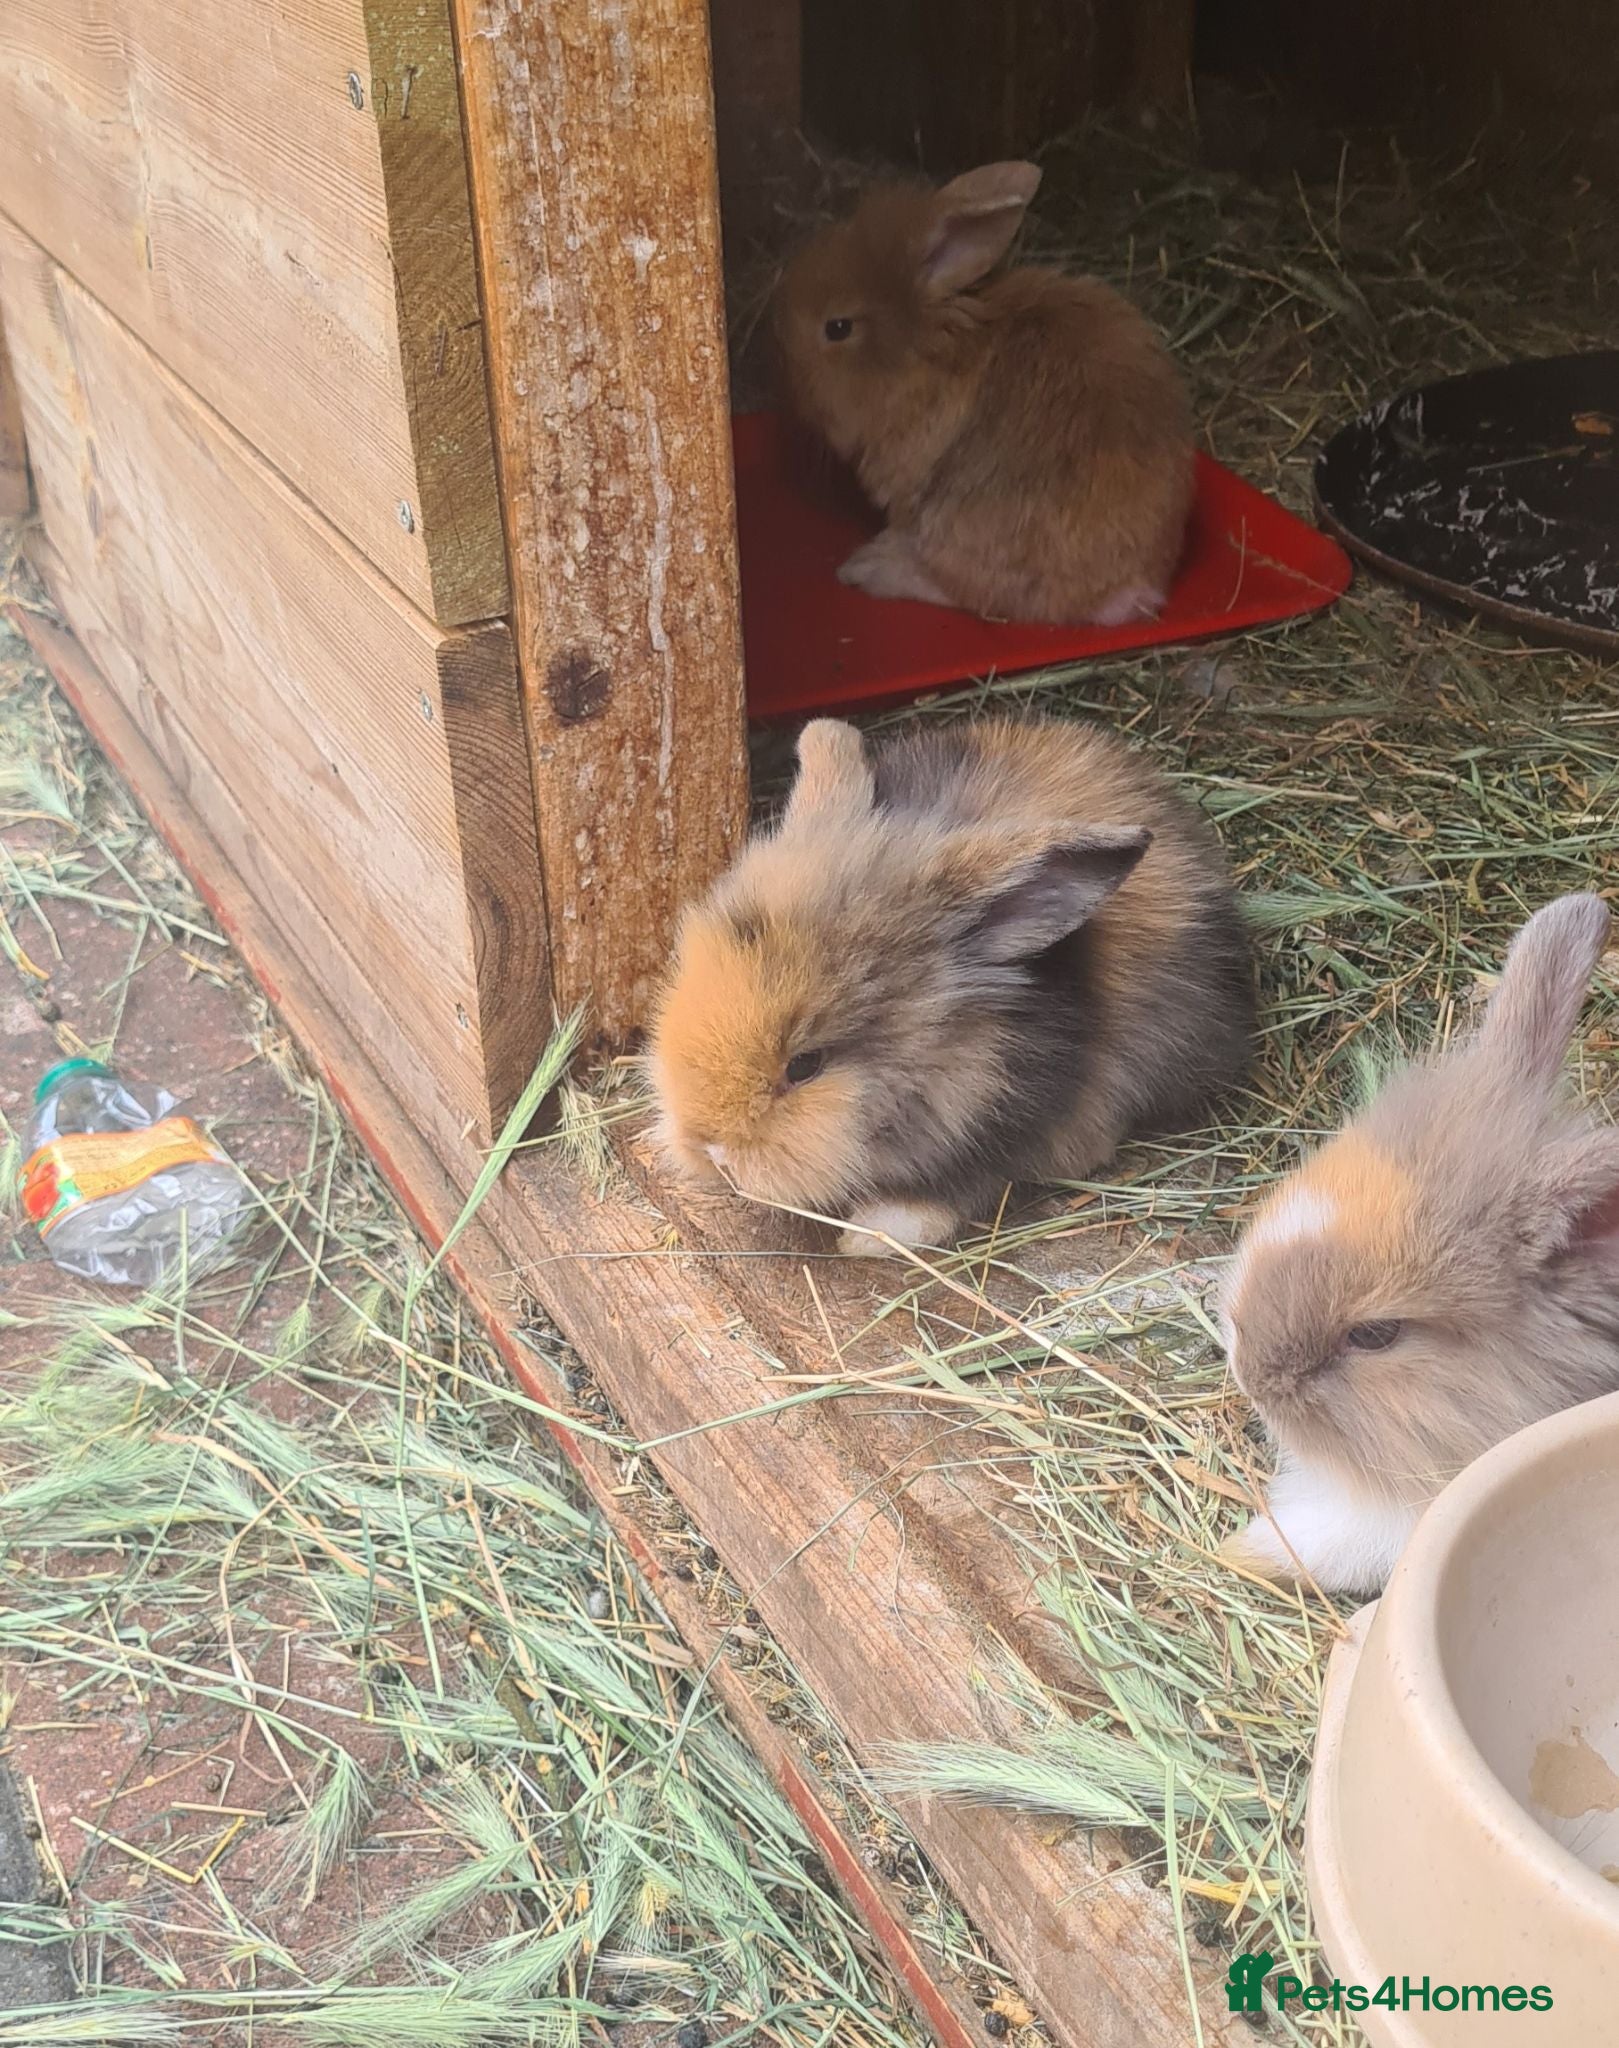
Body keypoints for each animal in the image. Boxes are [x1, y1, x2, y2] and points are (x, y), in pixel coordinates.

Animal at [648, 716, 1254, 1257]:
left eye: (805, 1065)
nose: (712, 1149)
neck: (942, 1059)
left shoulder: (1003, 1130)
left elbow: (957, 1188)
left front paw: (872, 1236)